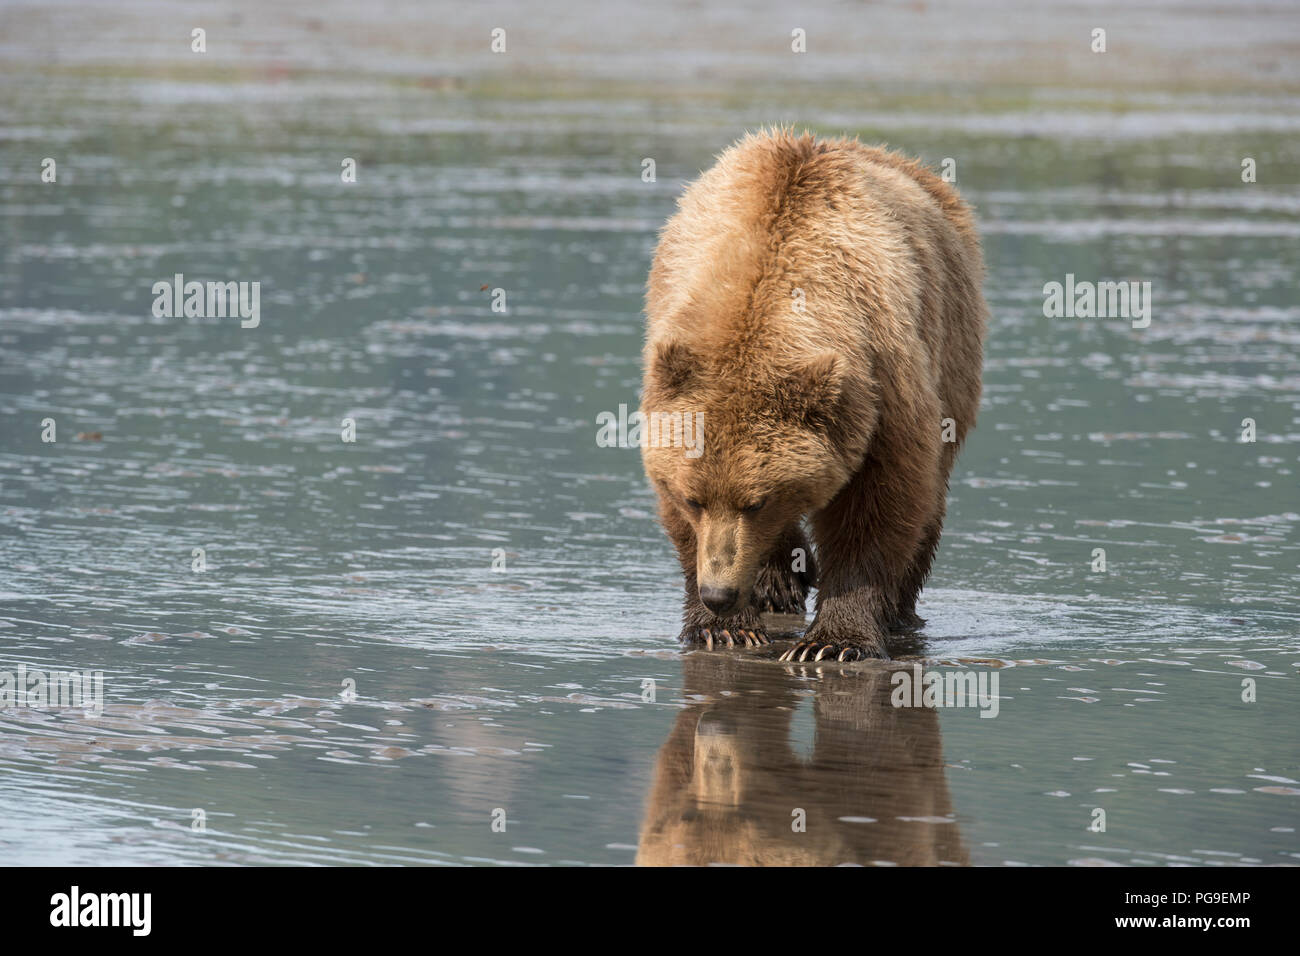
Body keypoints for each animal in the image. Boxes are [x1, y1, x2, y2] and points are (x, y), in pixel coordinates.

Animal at [639, 129, 987, 661]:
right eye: (694, 499)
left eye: (756, 502)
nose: (718, 593)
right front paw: (724, 628)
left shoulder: (883, 381)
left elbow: (879, 503)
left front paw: (833, 642)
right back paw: (778, 580)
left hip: (954, 352)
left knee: (928, 502)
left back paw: (897, 610)